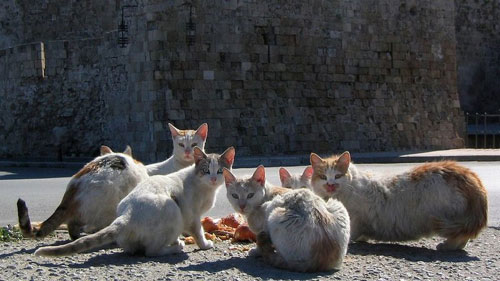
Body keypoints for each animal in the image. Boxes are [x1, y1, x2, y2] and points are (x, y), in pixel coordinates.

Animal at [35, 145, 234, 258]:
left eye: (220, 171)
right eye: (206, 170)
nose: (214, 178)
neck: (207, 189)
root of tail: (126, 216)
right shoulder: (193, 216)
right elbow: (198, 232)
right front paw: (204, 244)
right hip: (172, 208)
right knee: (151, 252)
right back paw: (175, 247)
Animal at [310, 151, 486, 249]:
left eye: (337, 176)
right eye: (323, 177)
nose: (330, 184)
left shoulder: (356, 218)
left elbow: (350, 232)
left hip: (451, 219)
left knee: (461, 235)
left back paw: (446, 246)